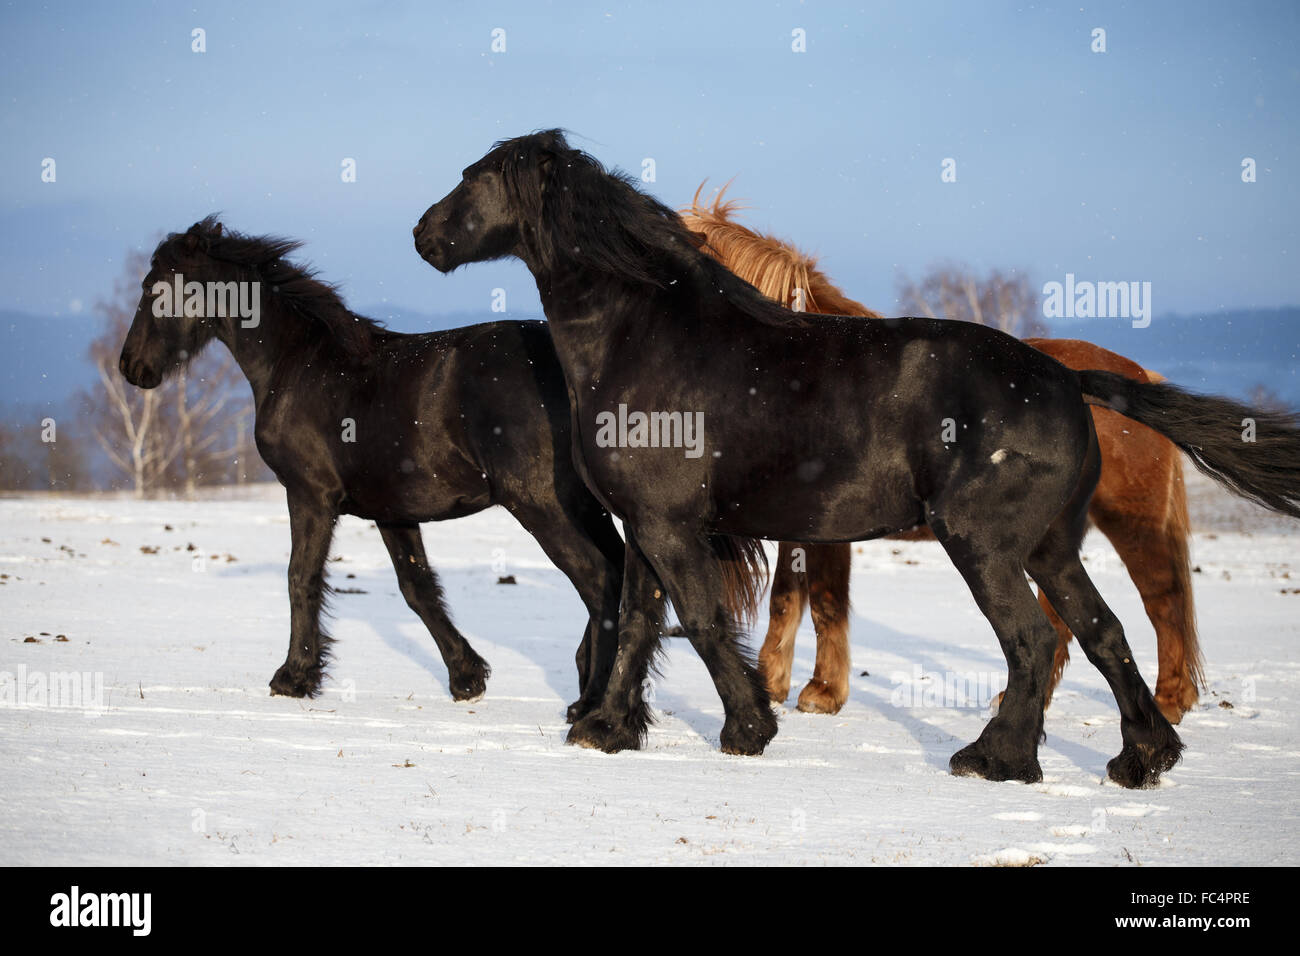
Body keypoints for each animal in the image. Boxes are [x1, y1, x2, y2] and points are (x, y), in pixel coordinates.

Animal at [120, 214, 624, 712]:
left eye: (153, 287)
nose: (131, 367)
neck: (297, 364)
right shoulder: (393, 512)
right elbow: (418, 589)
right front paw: (466, 677)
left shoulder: (309, 496)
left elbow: (301, 577)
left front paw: (294, 677)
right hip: (582, 504)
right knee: (616, 570)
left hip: (542, 503)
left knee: (597, 578)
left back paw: (592, 701)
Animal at [686, 187, 1201, 723]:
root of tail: (1136, 375)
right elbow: (786, 598)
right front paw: (774, 682)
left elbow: (825, 598)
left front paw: (822, 691)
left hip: (1130, 521)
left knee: (1163, 600)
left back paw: (1168, 701)